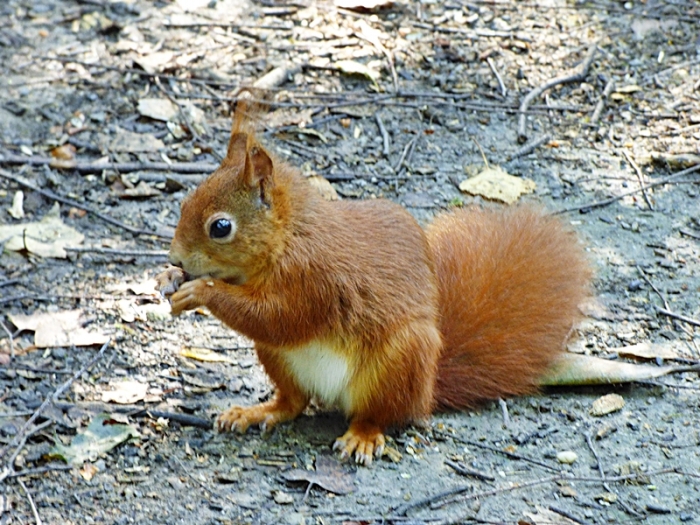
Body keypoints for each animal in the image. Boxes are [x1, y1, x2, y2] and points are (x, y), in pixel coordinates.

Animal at [155, 107, 591, 466]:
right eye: (184, 203)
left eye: (221, 227)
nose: (176, 257)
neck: (289, 235)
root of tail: (427, 391)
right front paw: (168, 278)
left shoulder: (316, 279)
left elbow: (280, 318)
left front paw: (201, 291)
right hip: (279, 360)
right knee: (294, 401)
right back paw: (258, 411)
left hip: (399, 360)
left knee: (379, 414)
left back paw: (363, 436)